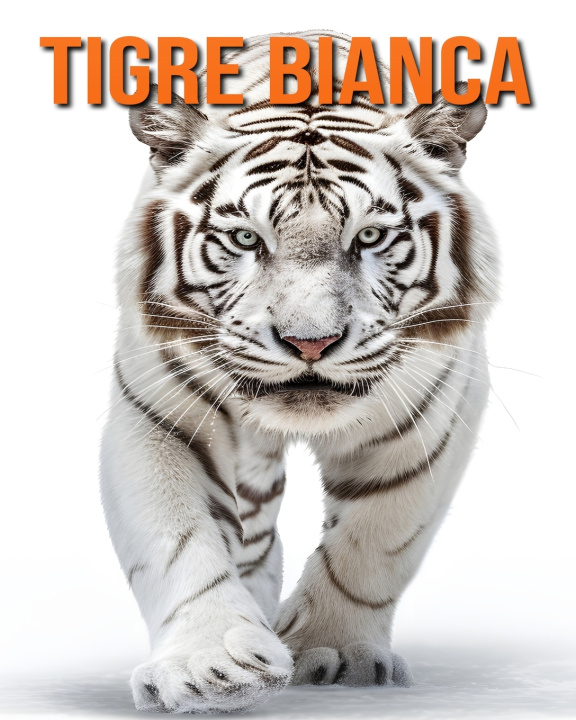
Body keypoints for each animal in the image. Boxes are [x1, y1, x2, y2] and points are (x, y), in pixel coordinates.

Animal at [100, 30, 499, 713]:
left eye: (369, 237)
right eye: (244, 239)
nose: (310, 342)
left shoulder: (434, 412)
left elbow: (374, 540)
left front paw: (333, 653)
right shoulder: (157, 410)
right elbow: (178, 538)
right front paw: (210, 667)